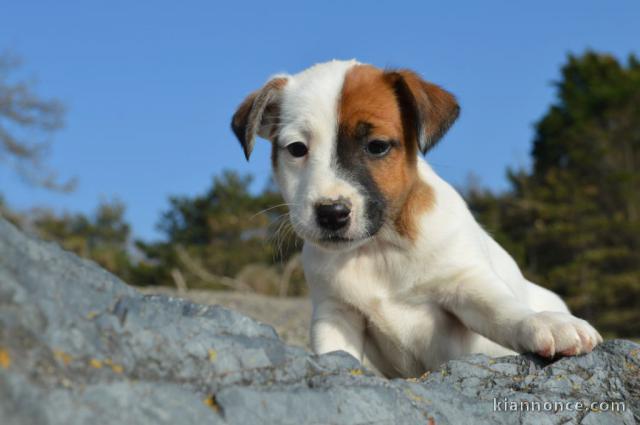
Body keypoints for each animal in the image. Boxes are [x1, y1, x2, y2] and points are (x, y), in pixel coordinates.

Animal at [230, 59, 600, 378]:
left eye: (377, 146)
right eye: (296, 149)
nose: (331, 213)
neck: (379, 248)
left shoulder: (466, 285)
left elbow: (502, 309)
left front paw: (545, 324)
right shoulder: (335, 313)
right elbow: (333, 352)